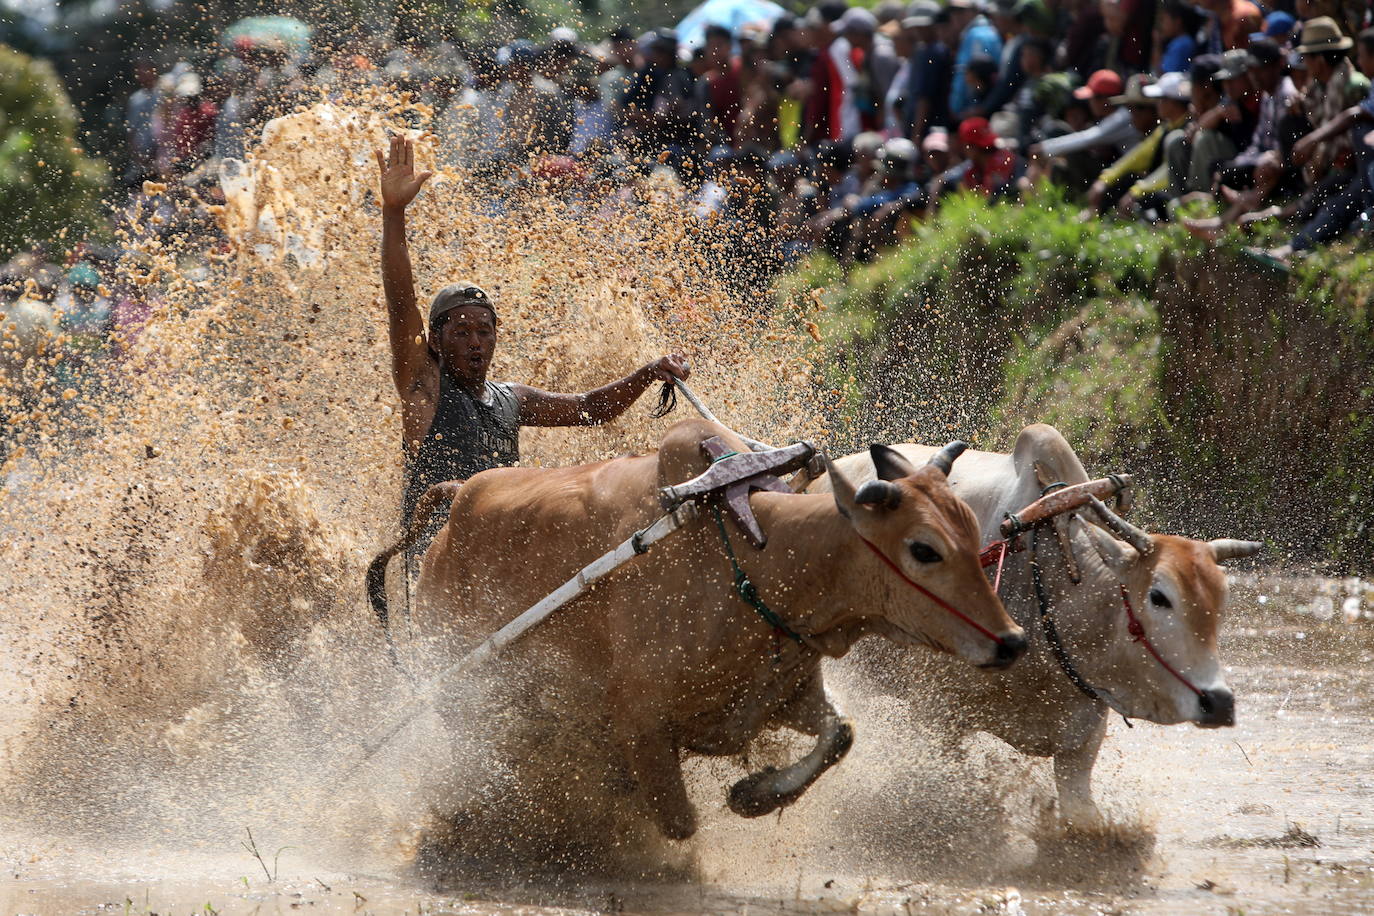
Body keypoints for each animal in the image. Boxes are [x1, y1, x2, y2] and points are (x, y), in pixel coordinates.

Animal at [401, 420, 1027, 840]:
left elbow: (839, 735)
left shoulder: (780, 697)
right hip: (460, 689)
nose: (1013, 640)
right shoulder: (640, 723)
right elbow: (679, 824)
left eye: (972, 531)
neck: (754, 565)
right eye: (923, 549)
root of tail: (450, 516)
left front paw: (754, 794)